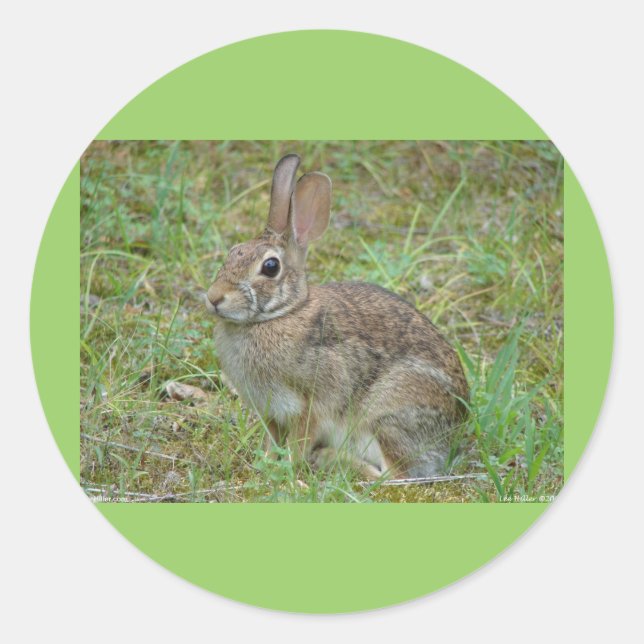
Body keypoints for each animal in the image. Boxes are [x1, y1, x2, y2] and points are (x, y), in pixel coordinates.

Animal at [205, 154, 469, 480]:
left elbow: (299, 442)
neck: (280, 314)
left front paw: (286, 468)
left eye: (270, 267)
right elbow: (271, 440)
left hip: (386, 415)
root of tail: (454, 434)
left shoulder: (311, 406)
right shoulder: (271, 413)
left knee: (392, 476)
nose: (214, 297)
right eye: (233, 251)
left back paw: (329, 458)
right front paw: (262, 463)